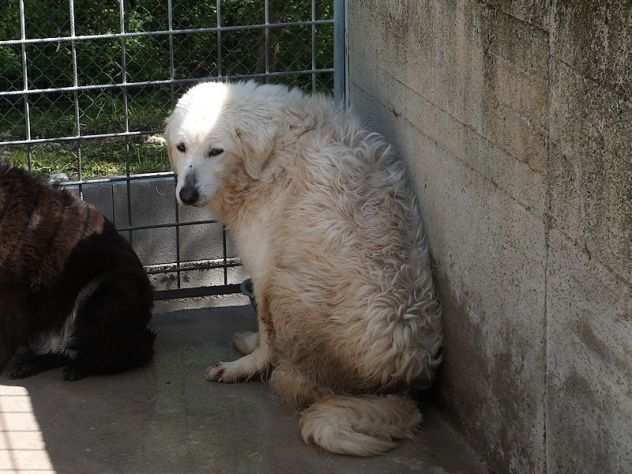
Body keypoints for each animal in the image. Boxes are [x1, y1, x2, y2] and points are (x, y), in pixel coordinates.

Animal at [165, 80, 446, 456]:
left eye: (216, 151)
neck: (272, 154)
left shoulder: (264, 269)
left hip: (287, 288)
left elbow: (266, 334)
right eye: (181, 147)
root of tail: (403, 386)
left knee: (293, 378)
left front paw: (246, 362)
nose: (187, 194)